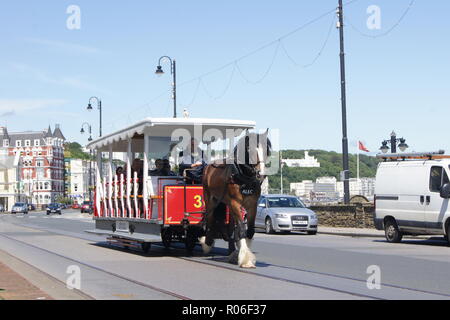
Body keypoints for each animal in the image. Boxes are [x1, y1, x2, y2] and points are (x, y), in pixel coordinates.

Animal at [200, 130, 270, 268]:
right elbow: (242, 229)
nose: (261, 174)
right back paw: (207, 242)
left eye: (267, 149)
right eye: (249, 149)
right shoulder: (235, 203)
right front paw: (246, 259)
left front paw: (243, 254)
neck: (243, 177)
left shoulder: (252, 205)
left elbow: (250, 231)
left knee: (232, 224)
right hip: (210, 199)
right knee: (210, 218)